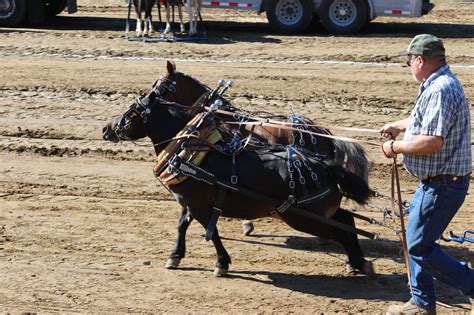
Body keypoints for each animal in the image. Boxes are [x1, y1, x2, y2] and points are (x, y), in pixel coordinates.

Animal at [103, 91, 374, 276]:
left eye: (132, 112)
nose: (106, 129)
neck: (191, 152)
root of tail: (326, 165)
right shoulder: (190, 202)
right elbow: (182, 226)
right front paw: (175, 256)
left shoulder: (199, 205)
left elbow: (210, 233)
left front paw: (222, 263)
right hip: (320, 212)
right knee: (347, 220)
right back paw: (356, 261)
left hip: (303, 218)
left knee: (342, 231)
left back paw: (356, 262)